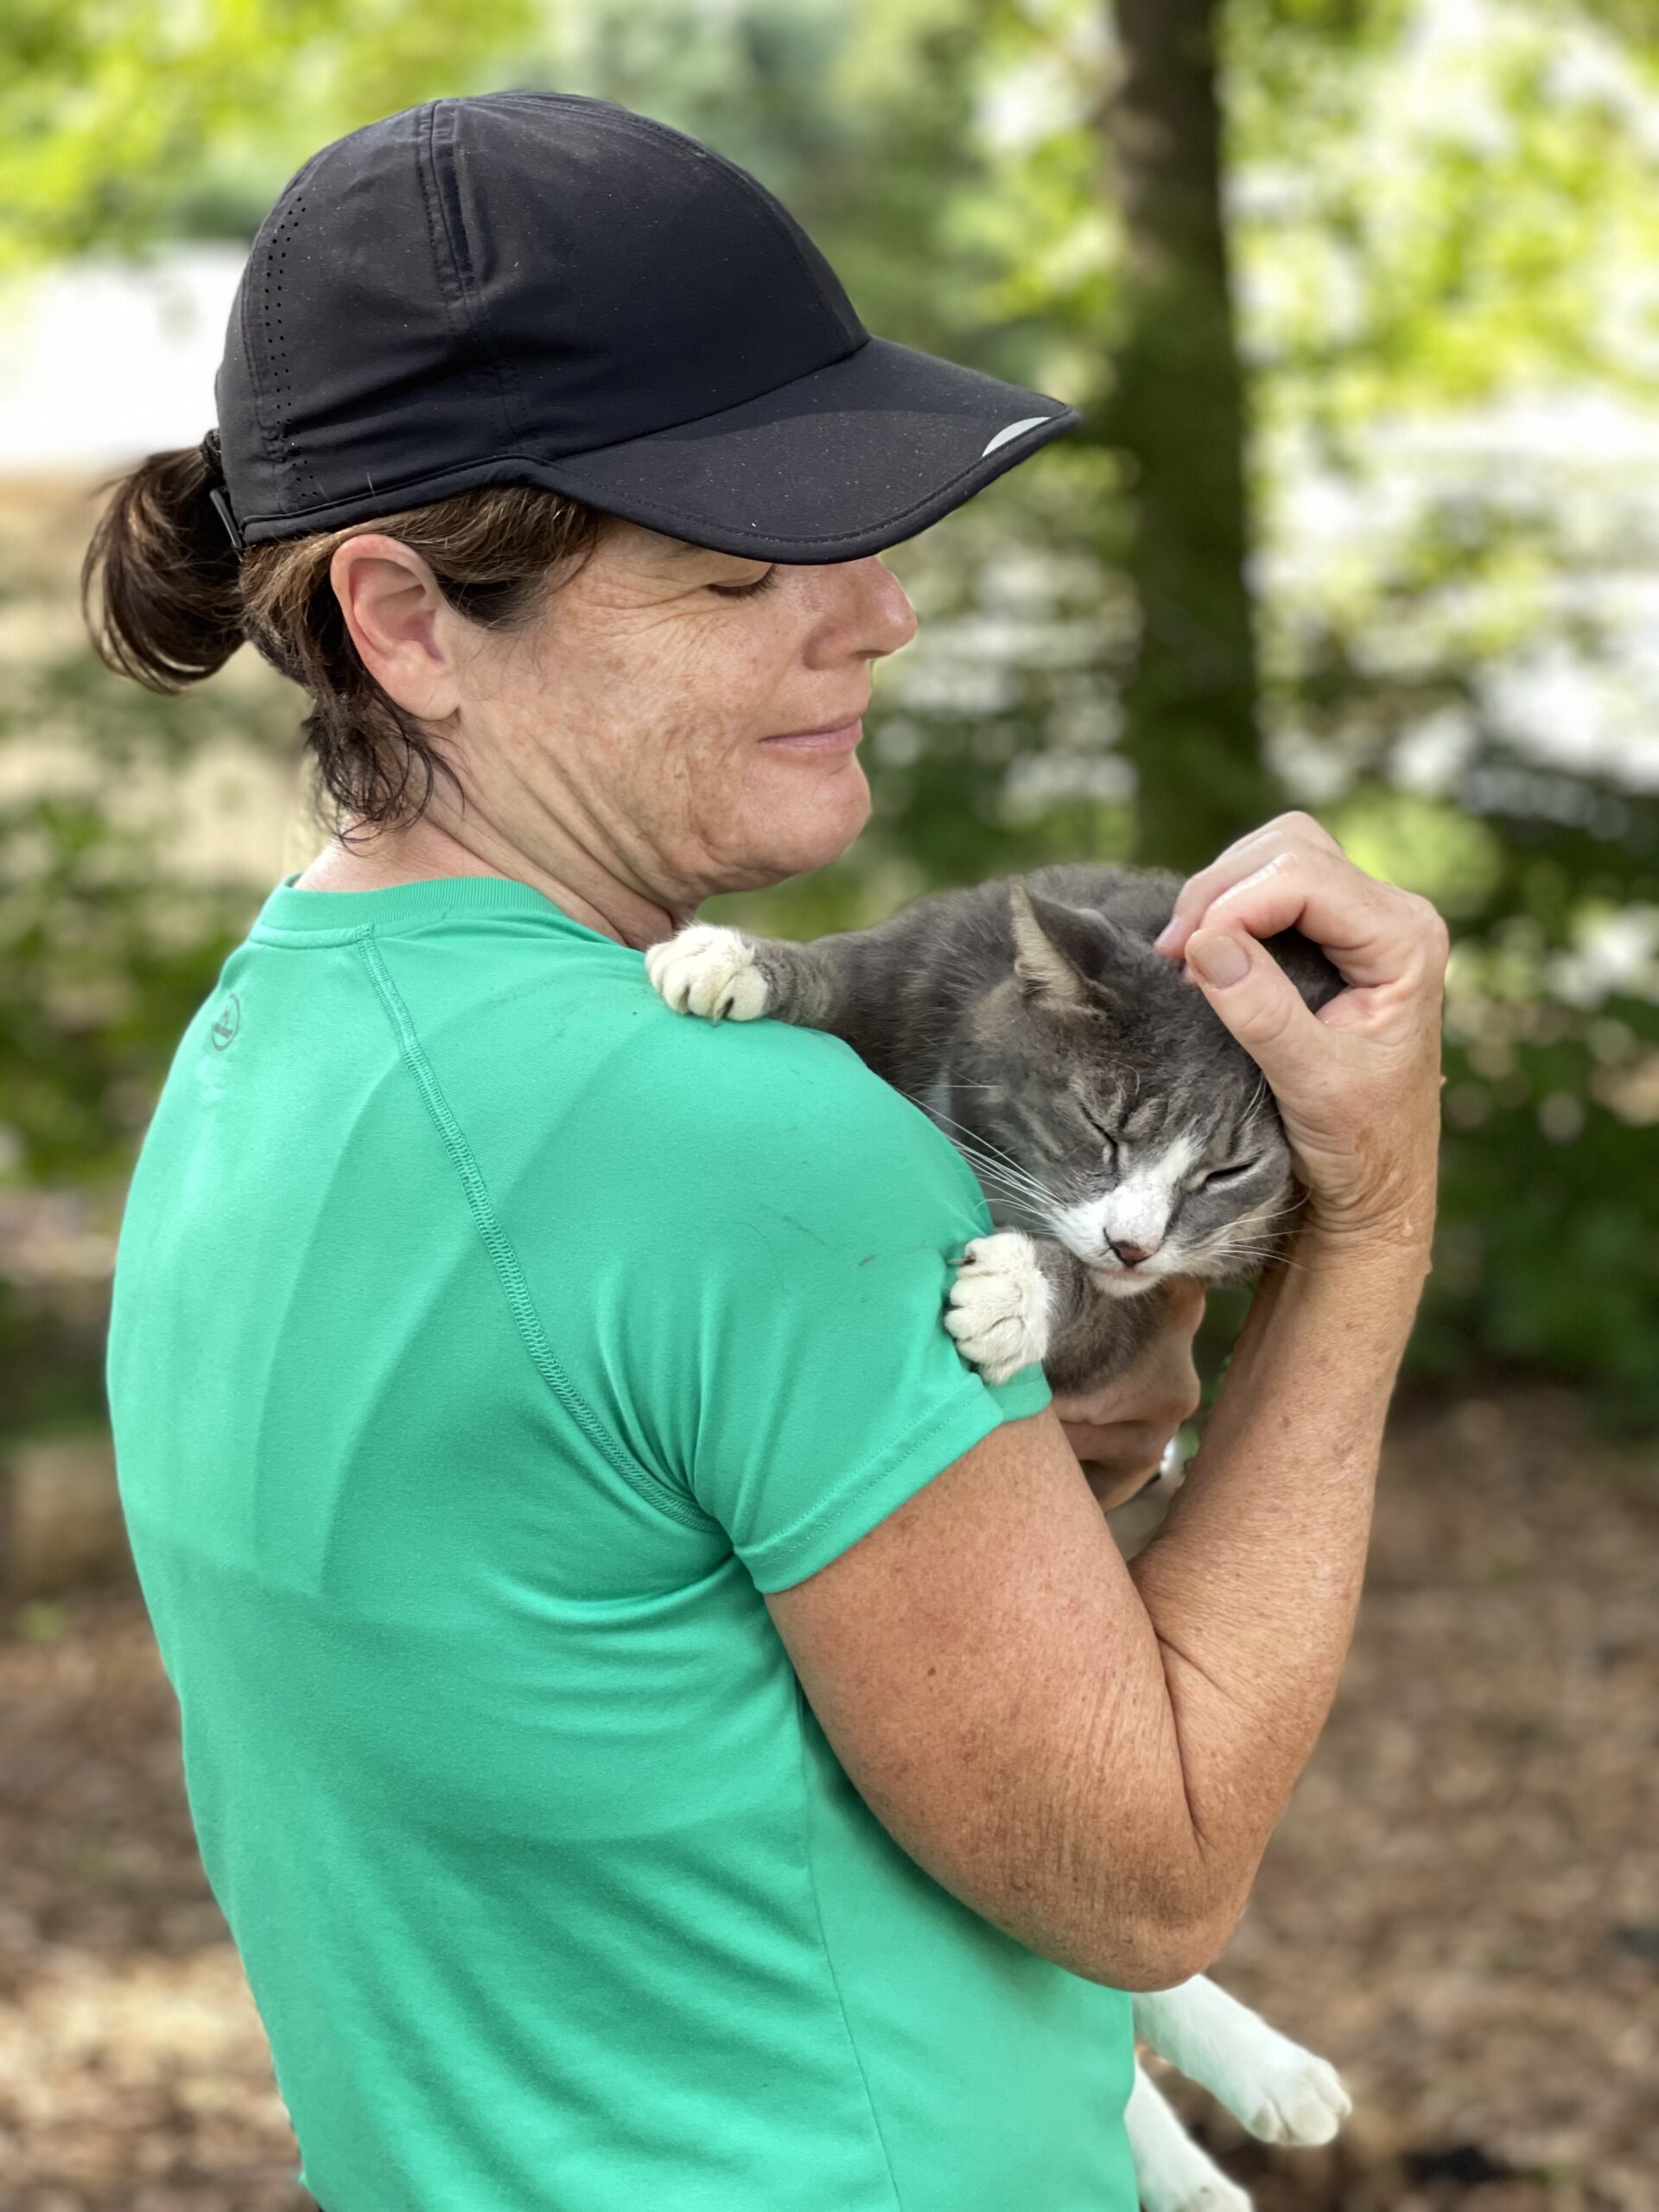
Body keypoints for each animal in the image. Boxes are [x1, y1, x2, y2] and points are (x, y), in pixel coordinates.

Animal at [641, 862, 1353, 2212]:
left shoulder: (1145, 1318)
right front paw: (729, 959)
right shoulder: (917, 962)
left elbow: (1087, 1304)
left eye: (1230, 1170)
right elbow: (839, 970)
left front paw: (1021, 1289)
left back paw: (1255, 2094)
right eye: (1108, 1124)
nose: (1131, 1237)